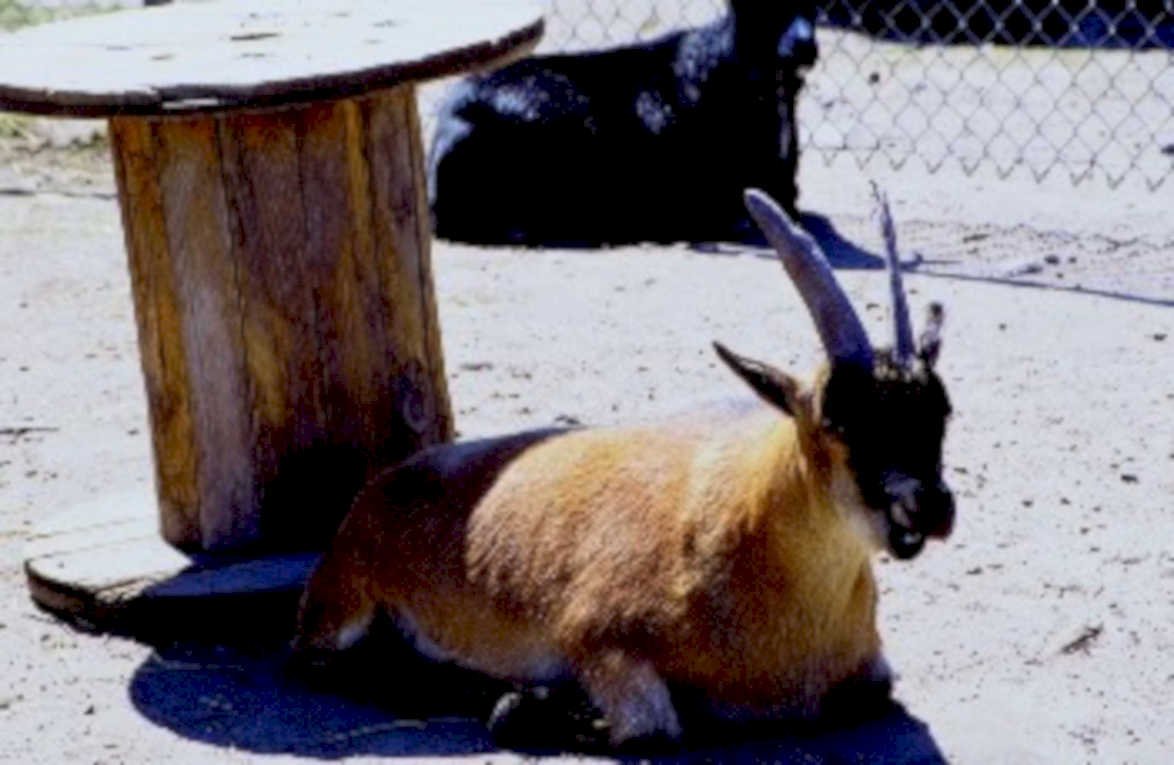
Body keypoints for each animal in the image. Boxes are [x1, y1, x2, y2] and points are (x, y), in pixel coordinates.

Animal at [293, 187, 955, 748]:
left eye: (942, 410)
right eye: (838, 421)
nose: (927, 506)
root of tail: (378, 492)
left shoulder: (870, 671)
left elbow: (874, 692)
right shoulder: (597, 637)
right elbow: (649, 728)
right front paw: (534, 705)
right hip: (343, 607)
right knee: (328, 661)